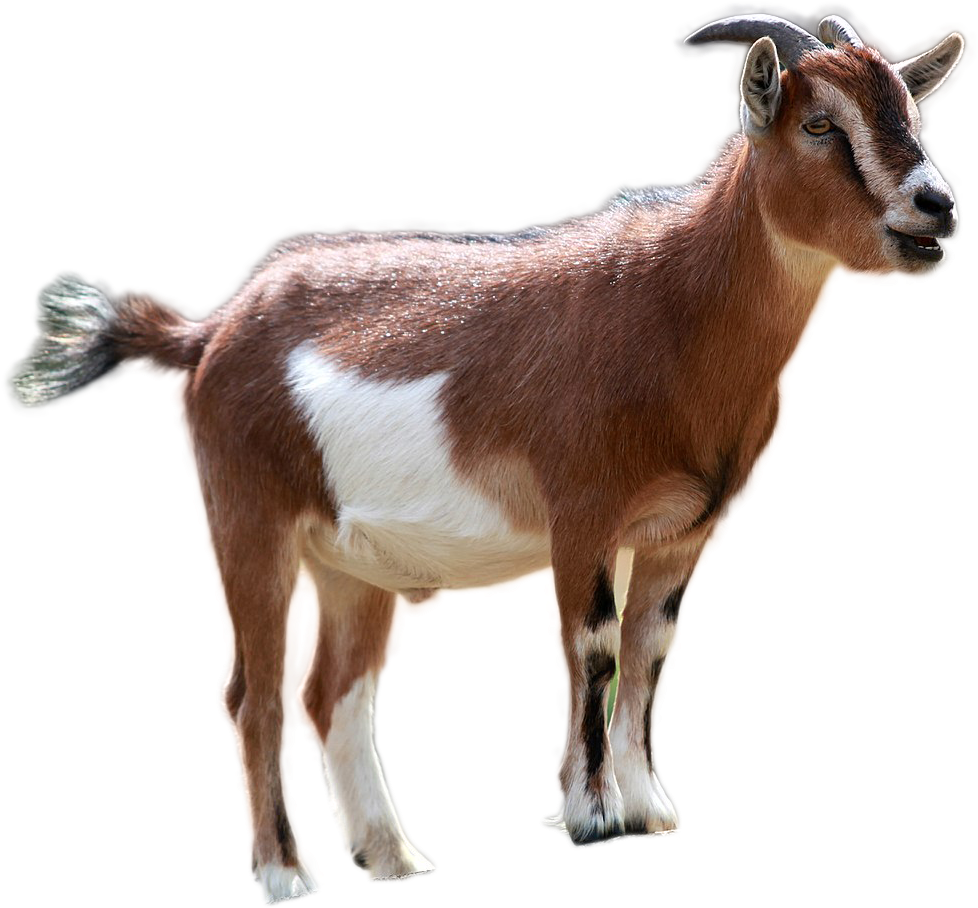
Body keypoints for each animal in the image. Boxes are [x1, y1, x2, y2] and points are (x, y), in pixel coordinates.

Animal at [4, 9, 967, 905]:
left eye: (909, 108)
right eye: (819, 124)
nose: (938, 207)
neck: (672, 305)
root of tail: (208, 333)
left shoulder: (682, 533)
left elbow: (654, 651)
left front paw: (650, 808)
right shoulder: (582, 514)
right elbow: (594, 647)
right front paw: (593, 819)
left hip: (352, 564)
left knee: (333, 690)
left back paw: (392, 857)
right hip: (250, 521)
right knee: (255, 690)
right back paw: (285, 874)